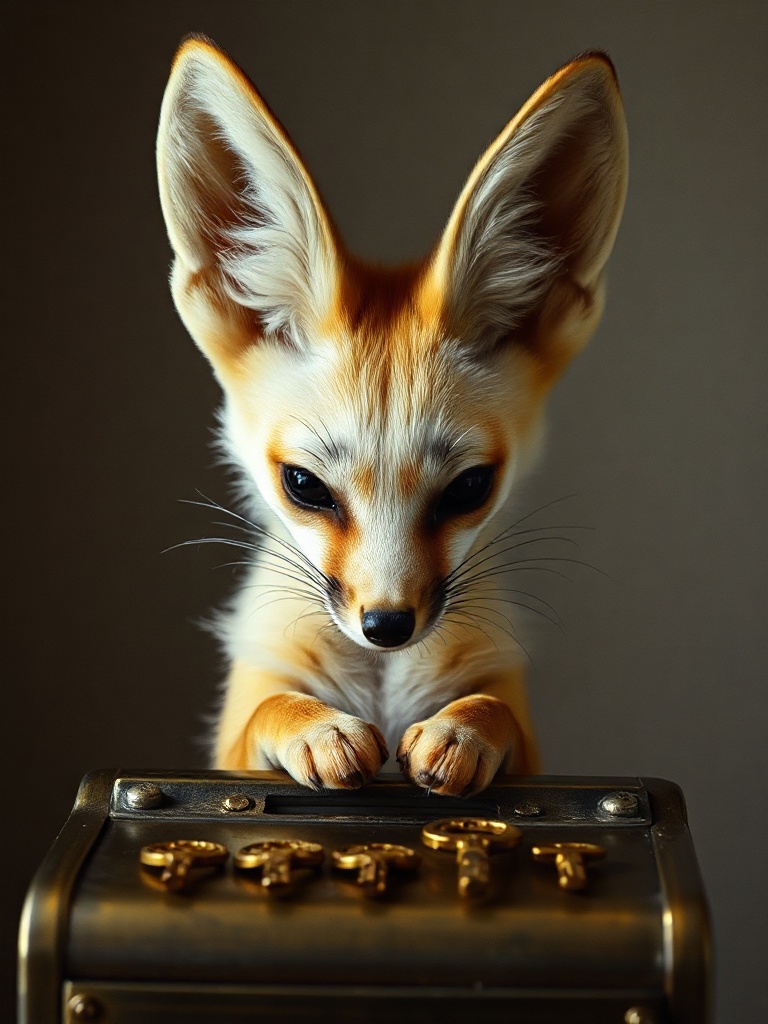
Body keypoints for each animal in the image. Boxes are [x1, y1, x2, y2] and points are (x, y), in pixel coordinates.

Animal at [156, 36, 627, 797]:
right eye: (303, 486)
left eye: (470, 489)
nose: (387, 624)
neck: (381, 682)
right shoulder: (236, 729)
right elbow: (269, 711)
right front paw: (316, 727)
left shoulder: (522, 725)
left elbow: (494, 709)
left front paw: (462, 730)